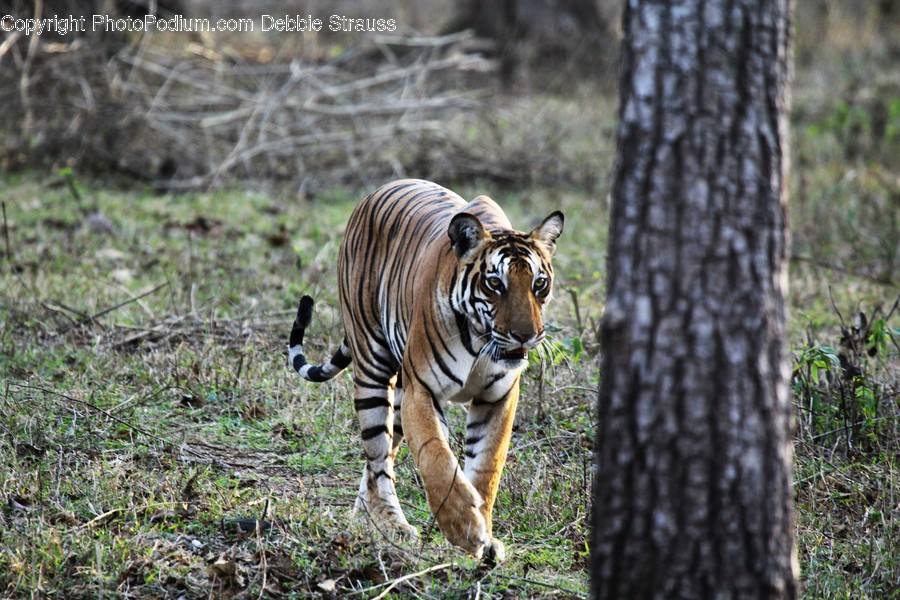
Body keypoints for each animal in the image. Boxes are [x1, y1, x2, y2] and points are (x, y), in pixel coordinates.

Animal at [288, 179, 564, 561]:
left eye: (539, 284)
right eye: (495, 284)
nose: (526, 335)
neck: (481, 339)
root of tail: (375, 193)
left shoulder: (498, 397)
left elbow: (487, 466)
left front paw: (485, 535)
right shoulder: (423, 391)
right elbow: (436, 457)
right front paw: (464, 527)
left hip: (399, 398)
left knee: (380, 458)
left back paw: (366, 517)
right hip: (374, 367)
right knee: (378, 457)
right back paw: (392, 523)